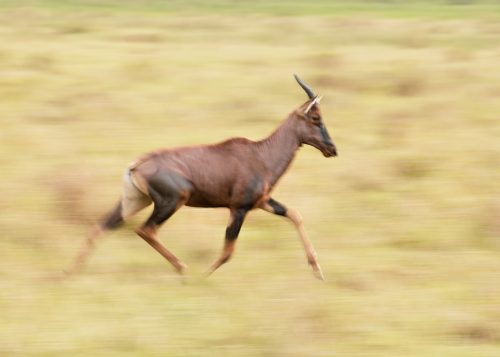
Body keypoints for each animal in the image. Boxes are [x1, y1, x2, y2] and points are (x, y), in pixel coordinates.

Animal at [68, 75, 338, 280]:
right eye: (315, 118)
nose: (332, 149)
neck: (260, 154)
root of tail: (136, 164)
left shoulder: (262, 203)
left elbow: (295, 215)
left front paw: (317, 270)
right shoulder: (239, 208)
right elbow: (228, 251)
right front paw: (204, 276)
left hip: (134, 201)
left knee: (102, 226)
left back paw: (71, 272)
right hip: (171, 201)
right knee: (146, 230)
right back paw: (184, 269)